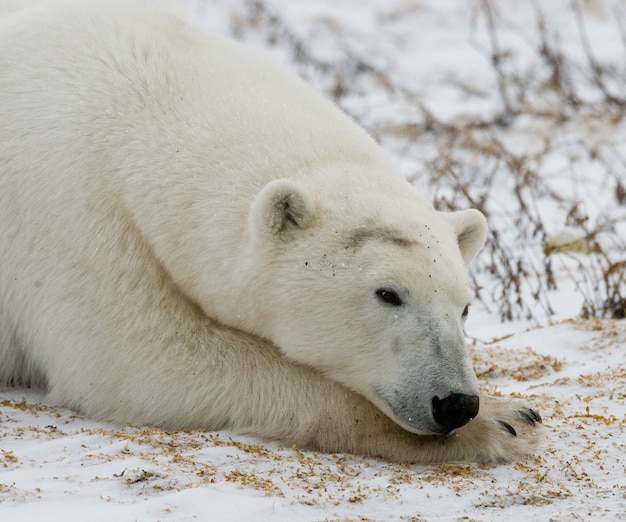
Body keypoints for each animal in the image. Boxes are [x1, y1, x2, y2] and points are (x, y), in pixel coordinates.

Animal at [0, 0, 540, 460]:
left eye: (464, 306)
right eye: (388, 294)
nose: (455, 403)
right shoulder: (70, 210)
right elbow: (140, 358)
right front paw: (502, 422)